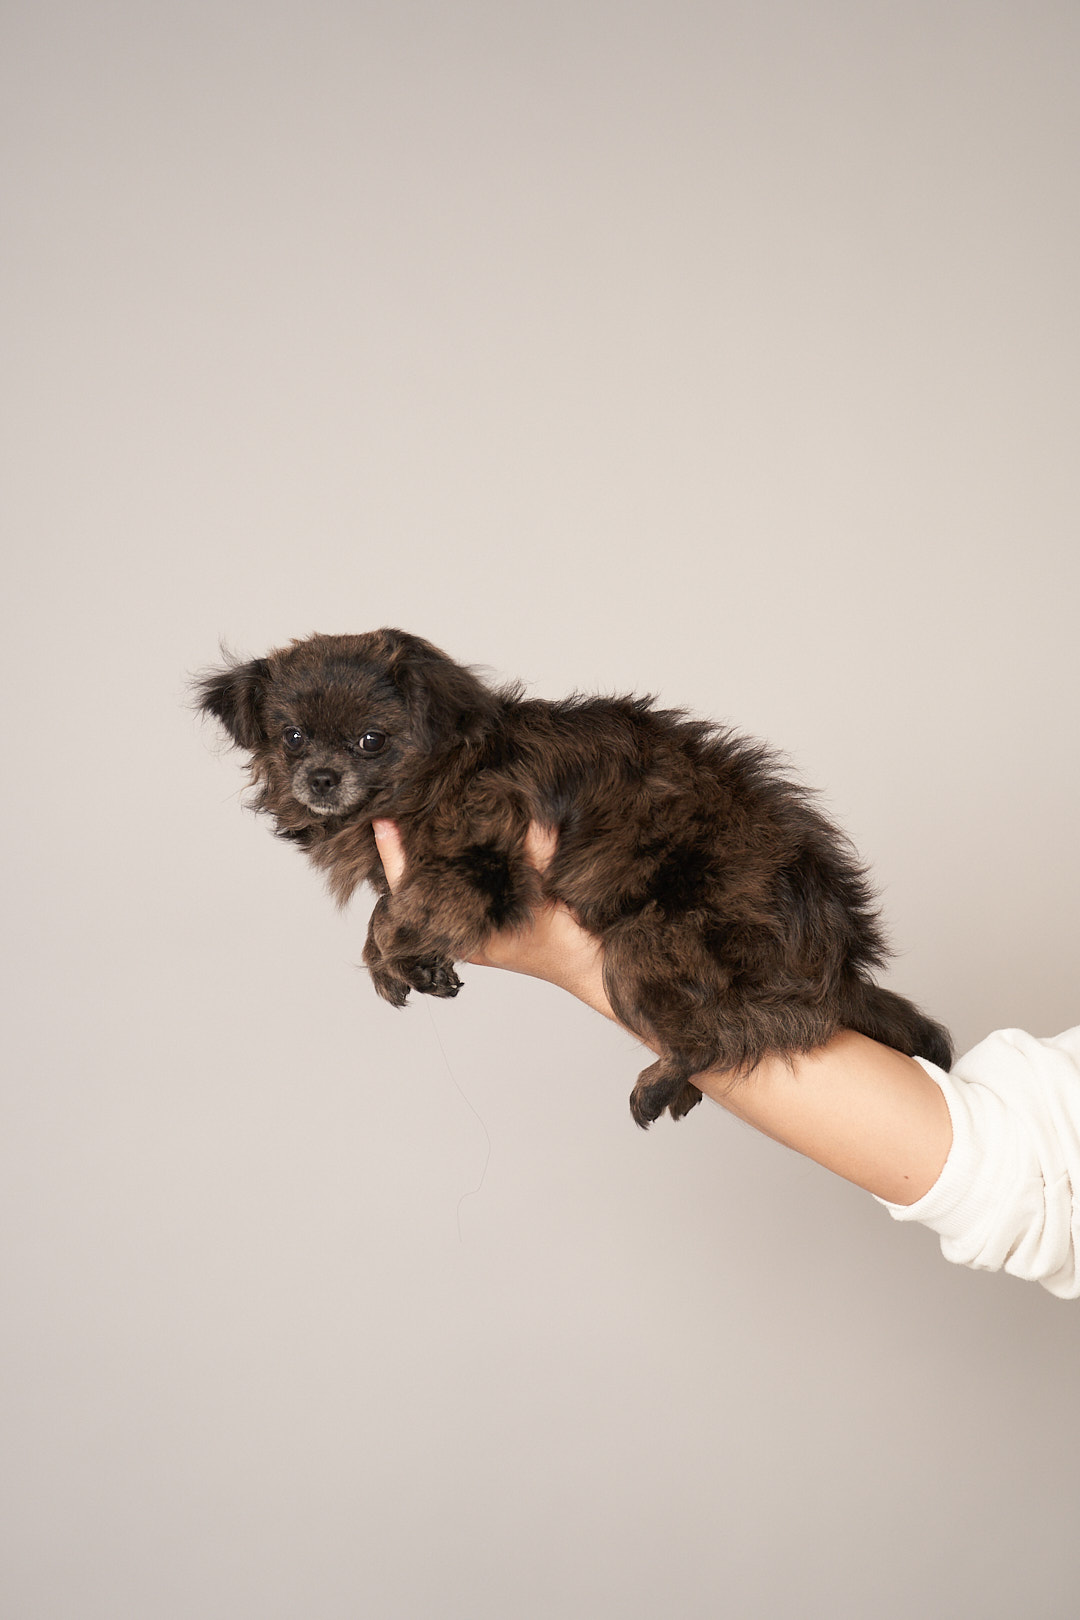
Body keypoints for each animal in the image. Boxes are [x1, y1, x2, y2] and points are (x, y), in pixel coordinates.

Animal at [197, 628, 952, 1126]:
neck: (431, 779)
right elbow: (384, 914)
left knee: (729, 1033)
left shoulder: (480, 863)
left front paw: (395, 957)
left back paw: (662, 1081)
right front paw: (406, 966)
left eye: (370, 742)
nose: (321, 777)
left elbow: (393, 916)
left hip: (643, 947)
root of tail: (839, 959)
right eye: (292, 736)